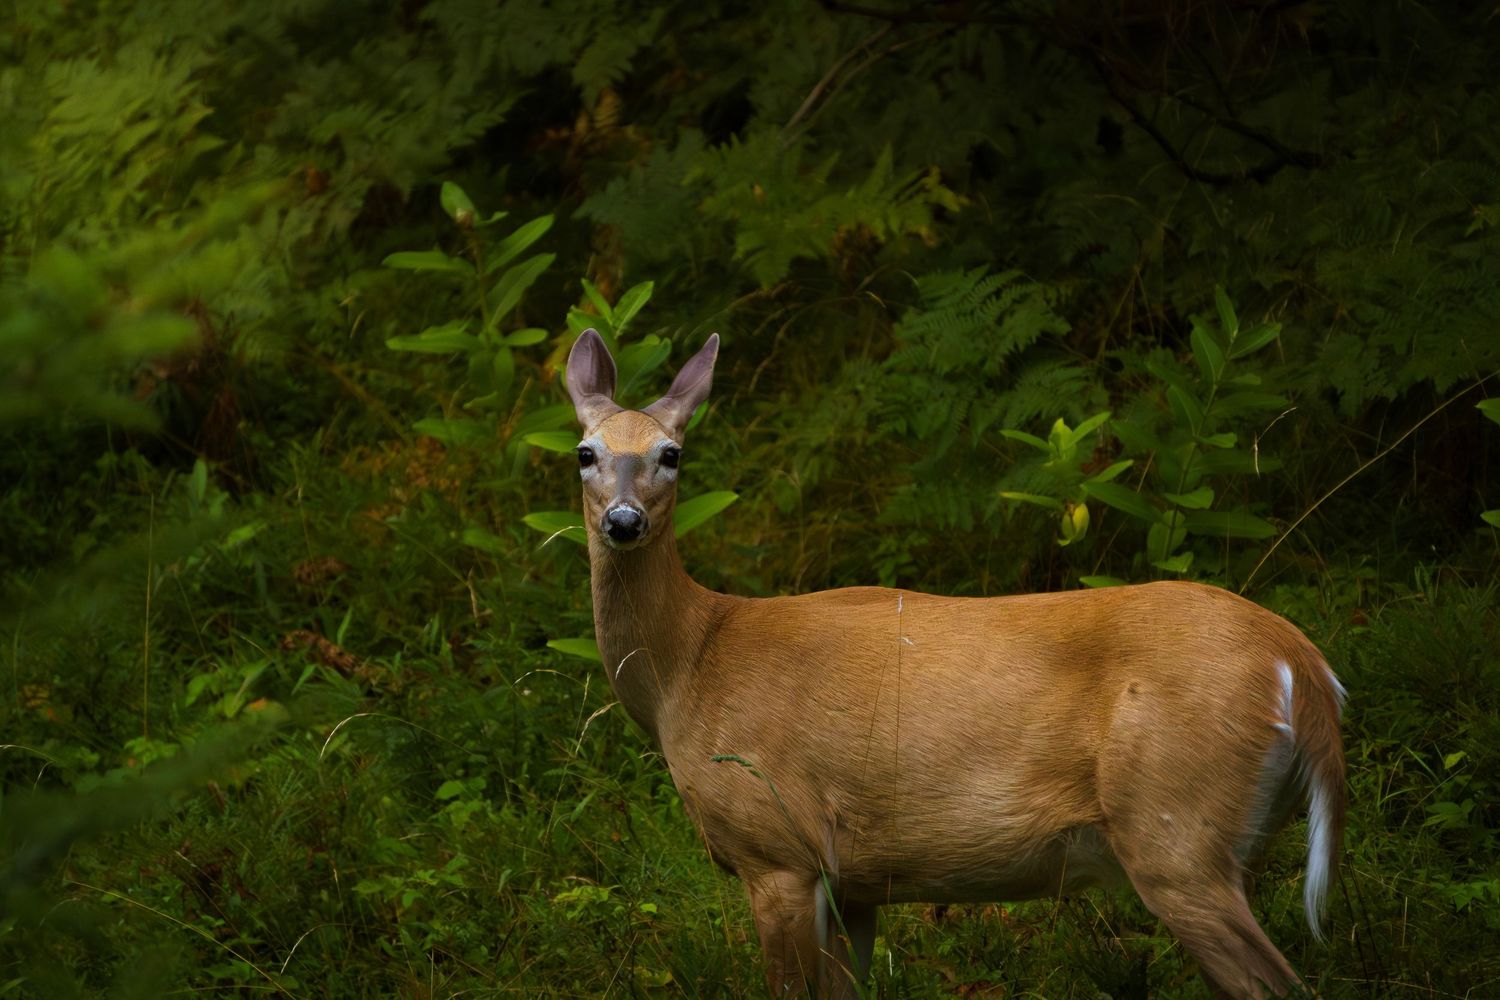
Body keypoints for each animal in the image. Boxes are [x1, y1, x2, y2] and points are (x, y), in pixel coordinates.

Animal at [562, 327, 1346, 999]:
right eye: (584, 451)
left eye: (671, 453)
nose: (624, 521)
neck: (692, 664)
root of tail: (1300, 664)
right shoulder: (854, 882)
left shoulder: (776, 847)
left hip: (1173, 822)